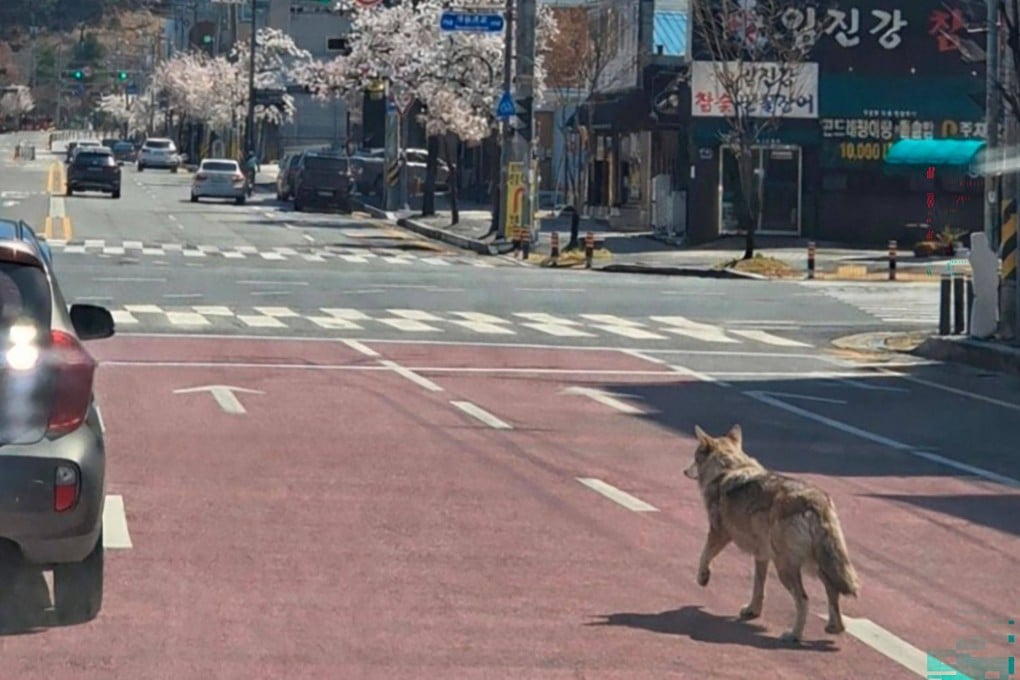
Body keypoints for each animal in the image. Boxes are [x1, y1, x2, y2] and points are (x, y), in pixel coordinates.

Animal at [684, 424, 860, 643]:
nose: (684, 471)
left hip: (785, 567)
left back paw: (794, 635)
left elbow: (704, 556)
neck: (728, 469)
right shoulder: (761, 555)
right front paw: (753, 611)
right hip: (816, 564)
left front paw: (703, 578)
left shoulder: (719, 533)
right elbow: (758, 588)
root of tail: (816, 501)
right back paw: (834, 627)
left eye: (695, 456)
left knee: (804, 600)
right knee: (832, 591)